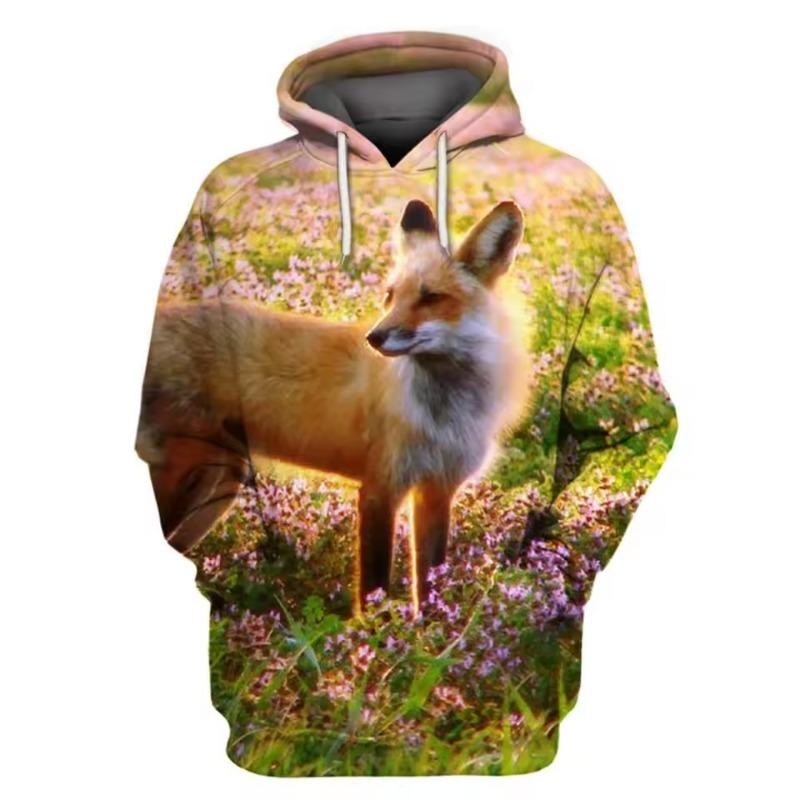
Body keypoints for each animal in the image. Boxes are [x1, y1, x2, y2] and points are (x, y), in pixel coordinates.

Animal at [137, 199, 529, 613]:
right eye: (391, 295)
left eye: (430, 297)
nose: (374, 337)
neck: (445, 411)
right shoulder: (379, 488)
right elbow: (374, 591)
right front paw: (376, 631)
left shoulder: (436, 491)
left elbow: (431, 586)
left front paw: (438, 630)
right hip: (187, 476)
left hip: (220, 483)